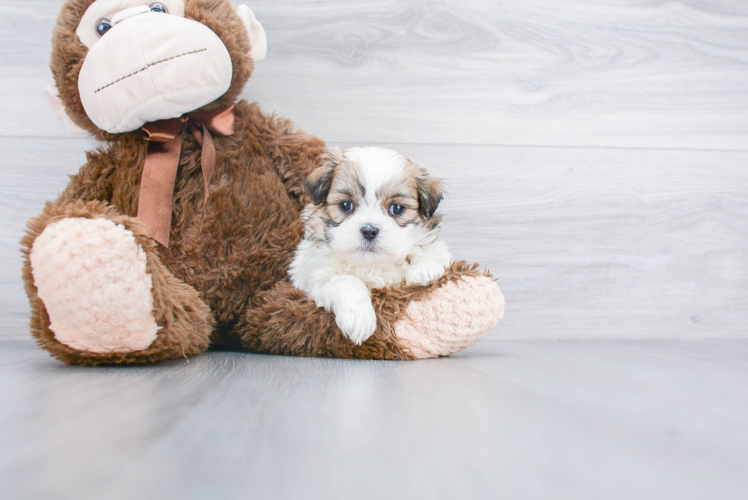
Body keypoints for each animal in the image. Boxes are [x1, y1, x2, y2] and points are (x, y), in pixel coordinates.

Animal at [288, 146, 450, 346]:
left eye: (397, 208)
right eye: (346, 205)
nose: (369, 230)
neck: (371, 265)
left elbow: (429, 252)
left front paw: (424, 269)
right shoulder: (314, 275)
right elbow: (347, 280)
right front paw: (359, 318)